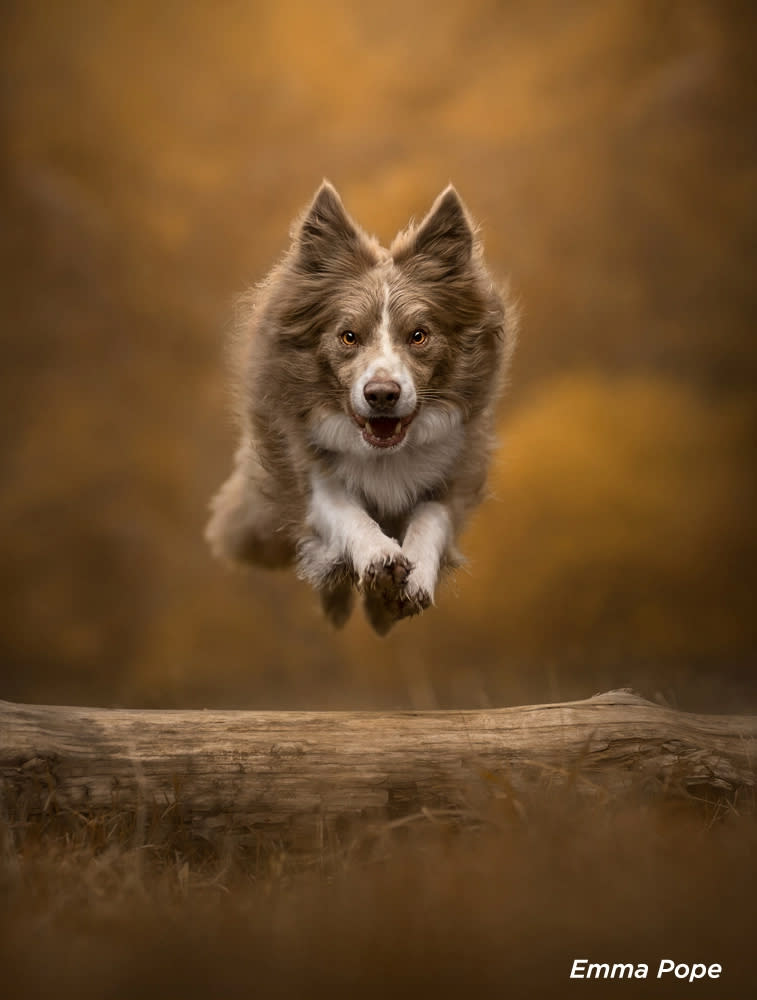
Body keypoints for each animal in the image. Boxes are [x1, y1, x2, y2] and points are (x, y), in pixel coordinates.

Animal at [204, 182, 516, 632]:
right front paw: (378, 556)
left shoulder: (455, 468)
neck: (384, 455)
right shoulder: (305, 463)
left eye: (419, 335)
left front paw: (416, 576)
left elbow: (432, 516)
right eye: (348, 336)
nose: (382, 394)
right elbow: (343, 508)